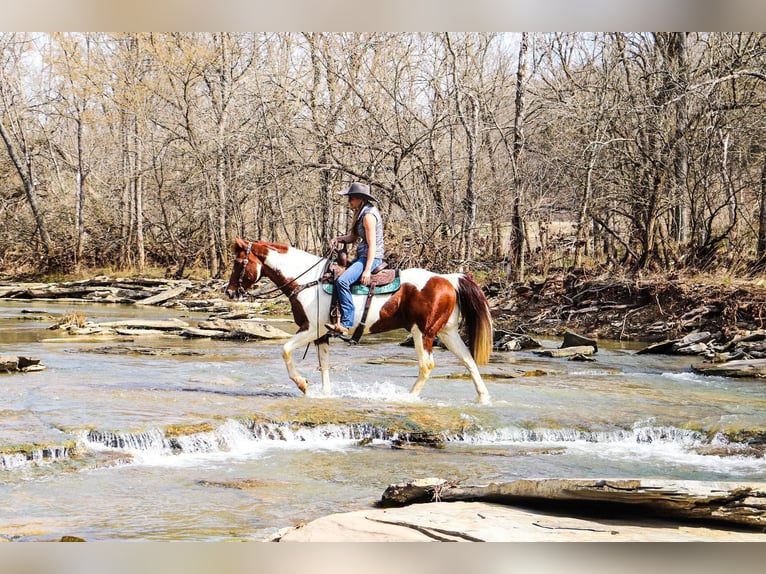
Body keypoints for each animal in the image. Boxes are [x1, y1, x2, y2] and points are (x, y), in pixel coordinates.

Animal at [225, 238, 496, 404]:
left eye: (238, 263)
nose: (229, 292)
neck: (307, 281)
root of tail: (449, 279)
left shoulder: (310, 329)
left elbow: (285, 350)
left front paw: (302, 384)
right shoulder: (321, 334)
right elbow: (324, 365)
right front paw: (324, 394)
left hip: (423, 332)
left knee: (427, 366)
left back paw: (407, 397)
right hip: (448, 332)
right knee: (469, 361)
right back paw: (483, 397)